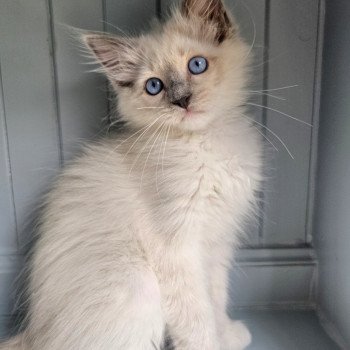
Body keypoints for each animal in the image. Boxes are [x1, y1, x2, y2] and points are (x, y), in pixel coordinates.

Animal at [0, 0, 262, 350]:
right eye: (154, 86)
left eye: (197, 65)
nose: (182, 100)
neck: (204, 145)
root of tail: (34, 337)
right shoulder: (177, 251)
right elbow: (197, 319)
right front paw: (213, 342)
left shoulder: (217, 245)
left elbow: (217, 301)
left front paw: (228, 336)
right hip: (139, 285)